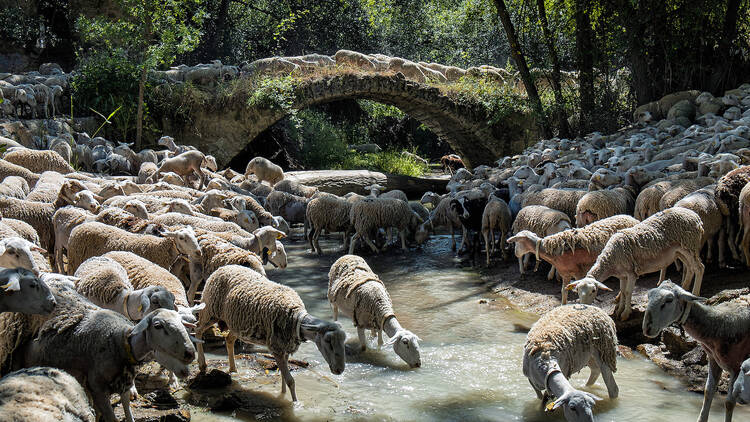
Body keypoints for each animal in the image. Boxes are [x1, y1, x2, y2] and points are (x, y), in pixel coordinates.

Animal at [194, 266, 346, 400]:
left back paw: (233, 369)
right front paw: (295, 403)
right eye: (328, 341)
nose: (339, 370)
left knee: (229, 340)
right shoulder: (276, 348)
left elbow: (284, 378)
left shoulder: (285, 347)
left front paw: (283, 395)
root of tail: (222, 268)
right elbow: (290, 381)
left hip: (236, 325)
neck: (296, 318)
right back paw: (202, 364)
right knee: (198, 330)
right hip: (209, 311)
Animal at [508, 216, 636, 304]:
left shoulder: (579, 273)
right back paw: (618, 298)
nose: (515, 253)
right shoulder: (565, 273)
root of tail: (632, 218)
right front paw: (563, 306)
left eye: (517, 241)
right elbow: (564, 292)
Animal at [576, 208, 704, 320]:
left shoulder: (631, 273)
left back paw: (694, 294)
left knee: (699, 268)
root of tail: (696, 216)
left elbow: (628, 292)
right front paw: (619, 310)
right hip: (680, 251)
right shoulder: (622, 275)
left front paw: (625, 314)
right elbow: (622, 291)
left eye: (593, 290)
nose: (585, 307)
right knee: (690, 268)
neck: (611, 259)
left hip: (689, 244)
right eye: (577, 291)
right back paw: (684, 288)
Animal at [644, 280, 750, 422]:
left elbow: (729, 403)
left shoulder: (736, 367)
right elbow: (708, 392)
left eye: (669, 300)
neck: (719, 324)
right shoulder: (714, 360)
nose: (647, 328)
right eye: (649, 295)